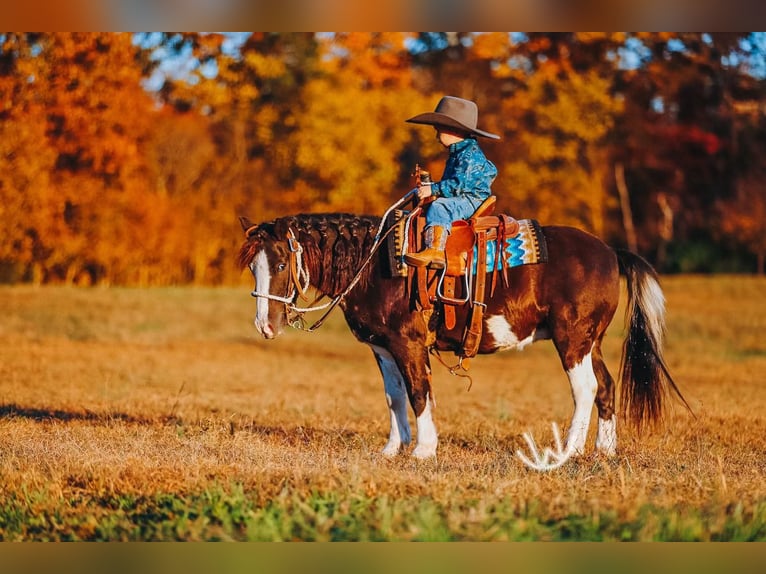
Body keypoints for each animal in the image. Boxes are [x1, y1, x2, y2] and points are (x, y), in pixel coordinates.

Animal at [237, 210, 689, 471]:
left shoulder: (408, 343)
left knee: (586, 389)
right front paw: (393, 448)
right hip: (590, 342)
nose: (265, 325)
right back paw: (604, 451)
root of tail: (611, 251)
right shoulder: (383, 348)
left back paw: (570, 452)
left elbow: (419, 393)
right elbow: (395, 397)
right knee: (606, 387)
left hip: (572, 340)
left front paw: (423, 449)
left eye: (281, 263)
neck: (377, 265)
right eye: (253, 267)